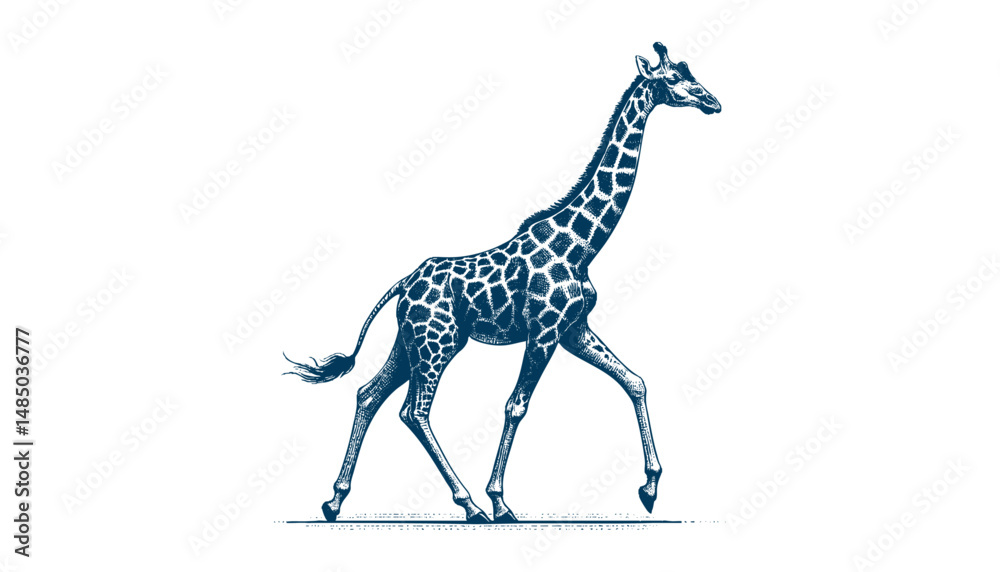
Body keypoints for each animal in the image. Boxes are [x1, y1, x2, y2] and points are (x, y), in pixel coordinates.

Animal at [285, 42, 721, 523]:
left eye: (690, 73)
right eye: (675, 79)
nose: (713, 102)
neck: (583, 245)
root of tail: (403, 284)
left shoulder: (574, 330)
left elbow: (634, 380)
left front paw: (649, 488)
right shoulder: (545, 331)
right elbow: (516, 406)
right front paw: (498, 500)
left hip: (411, 343)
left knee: (370, 394)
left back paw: (334, 500)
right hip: (437, 344)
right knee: (414, 411)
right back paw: (470, 504)